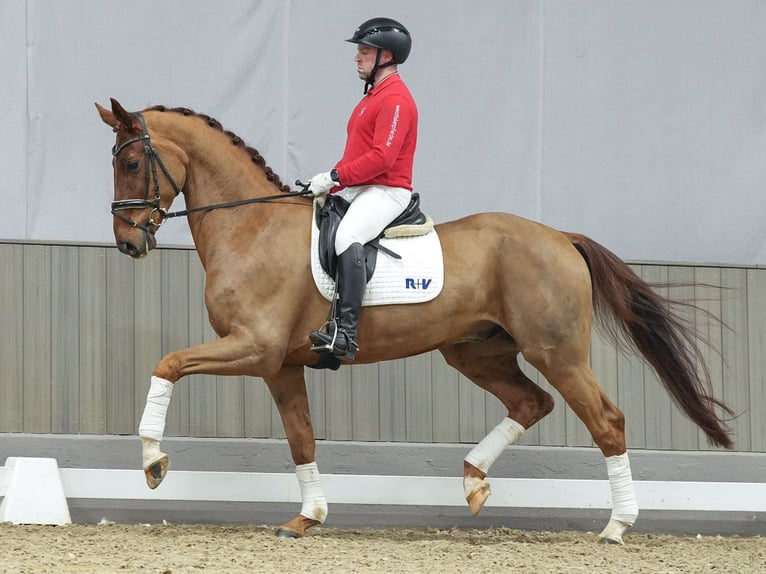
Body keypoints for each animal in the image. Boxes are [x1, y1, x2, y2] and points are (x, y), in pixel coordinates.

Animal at [97, 98, 736, 544]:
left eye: (130, 161)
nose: (128, 243)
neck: (252, 229)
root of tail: (560, 236)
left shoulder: (253, 348)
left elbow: (167, 364)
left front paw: (152, 463)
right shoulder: (279, 365)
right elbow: (301, 437)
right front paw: (307, 517)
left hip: (556, 352)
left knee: (606, 421)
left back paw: (616, 526)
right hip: (476, 350)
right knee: (532, 403)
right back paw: (474, 480)